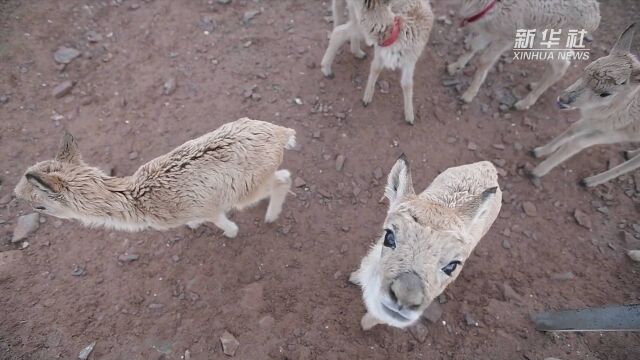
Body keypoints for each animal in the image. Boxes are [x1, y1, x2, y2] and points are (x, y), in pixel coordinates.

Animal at [14, 118, 296, 238]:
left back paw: (271, 217)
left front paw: (231, 233)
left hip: (248, 189)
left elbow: (225, 224)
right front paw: (193, 226)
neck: (137, 201)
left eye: (38, 205)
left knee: (284, 178)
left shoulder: (210, 209)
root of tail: (282, 133)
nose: (16, 195)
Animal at [350, 156, 500, 330]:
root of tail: (489, 166)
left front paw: (366, 324)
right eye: (389, 236)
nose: (406, 297)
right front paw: (355, 278)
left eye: (452, 265)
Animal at [448, 0, 604, 109]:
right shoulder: (491, 30)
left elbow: (484, 60)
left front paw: (469, 94)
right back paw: (534, 86)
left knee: (561, 64)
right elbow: (473, 46)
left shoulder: (507, 35)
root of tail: (596, 18)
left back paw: (524, 103)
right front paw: (454, 67)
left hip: (545, 40)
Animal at [528, 22, 640, 187]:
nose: (563, 99)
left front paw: (538, 171)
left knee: (634, 164)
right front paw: (540, 151)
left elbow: (576, 143)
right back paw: (630, 153)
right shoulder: (595, 121)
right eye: (585, 71)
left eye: (605, 93)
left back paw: (589, 181)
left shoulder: (612, 133)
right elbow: (572, 129)